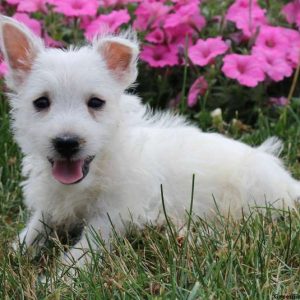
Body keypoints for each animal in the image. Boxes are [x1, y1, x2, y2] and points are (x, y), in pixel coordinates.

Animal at [0, 15, 300, 264]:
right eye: (41, 102)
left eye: (96, 102)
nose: (66, 142)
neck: (96, 170)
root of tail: (288, 182)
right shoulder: (52, 204)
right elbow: (33, 230)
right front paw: (15, 254)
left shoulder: (113, 214)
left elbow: (83, 251)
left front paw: (57, 280)